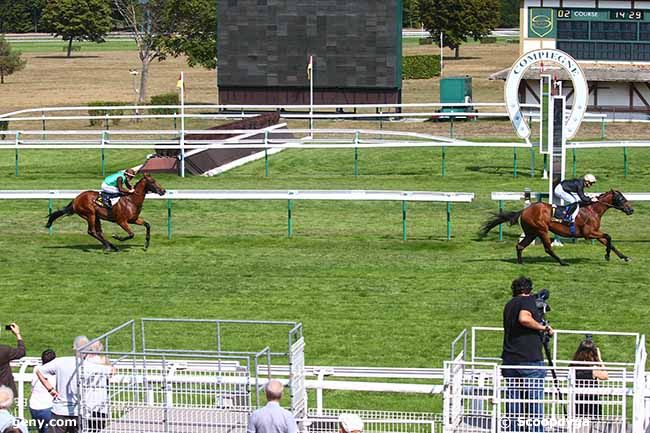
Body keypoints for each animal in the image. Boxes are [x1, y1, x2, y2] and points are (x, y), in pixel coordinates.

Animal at [478, 191, 632, 264]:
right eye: (621, 198)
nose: (631, 210)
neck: (592, 210)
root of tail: (524, 210)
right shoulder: (589, 233)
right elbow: (608, 237)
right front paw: (607, 255)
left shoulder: (595, 232)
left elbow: (609, 242)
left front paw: (624, 257)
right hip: (541, 230)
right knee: (548, 248)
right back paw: (562, 262)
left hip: (531, 233)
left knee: (520, 246)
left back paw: (521, 263)